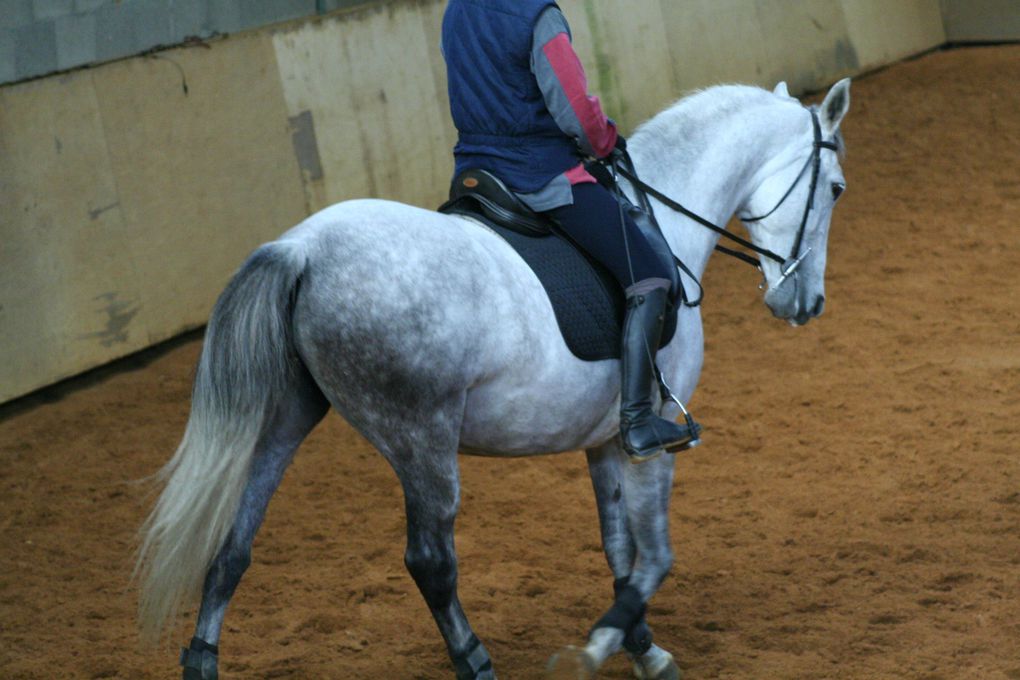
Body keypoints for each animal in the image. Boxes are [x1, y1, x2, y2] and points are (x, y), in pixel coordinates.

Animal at [137, 76, 852, 676]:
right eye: (837, 188)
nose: (807, 303)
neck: (664, 222)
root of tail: (302, 249)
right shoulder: (649, 440)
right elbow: (656, 557)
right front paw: (601, 647)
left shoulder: (604, 438)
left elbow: (619, 550)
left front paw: (641, 648)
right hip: (420, 437)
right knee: (431, 562)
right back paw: (475, 661)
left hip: (286, 417)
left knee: (233, 546)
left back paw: (201, 659)